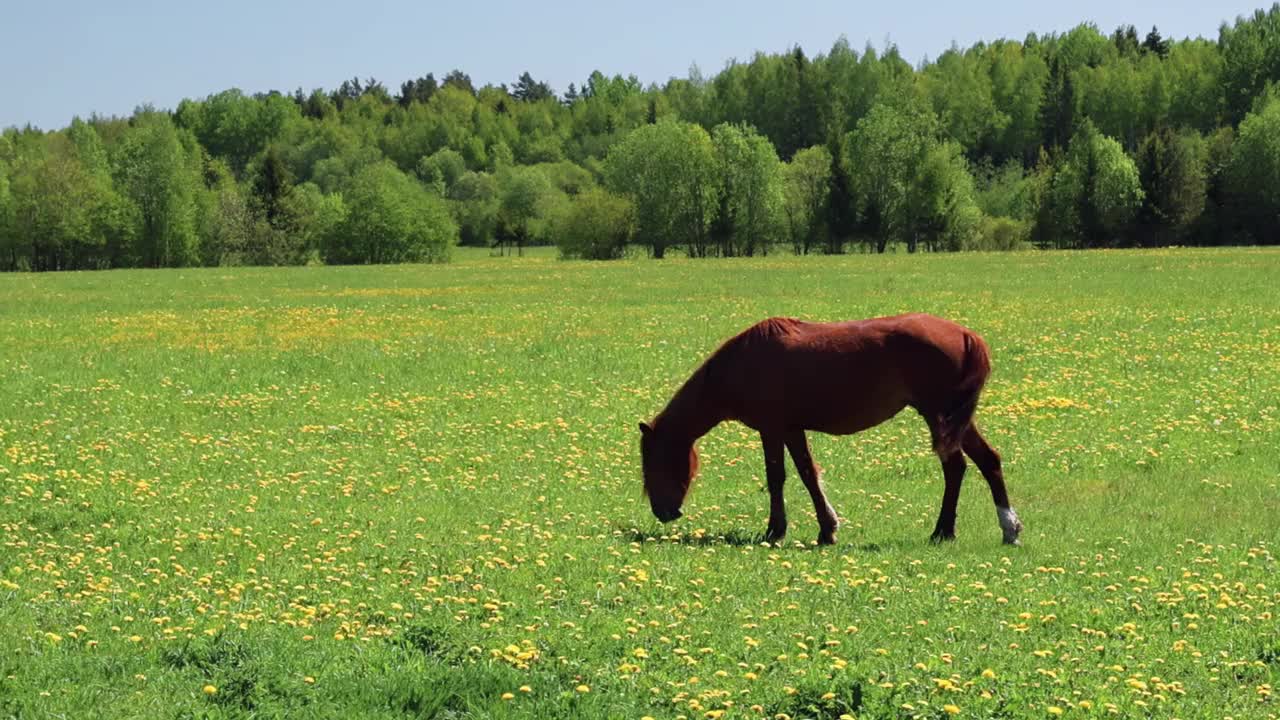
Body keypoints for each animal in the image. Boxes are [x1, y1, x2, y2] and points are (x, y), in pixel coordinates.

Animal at [645, 312, 1024, 543]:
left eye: (654, 463)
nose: (662, 512)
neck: (744, 362)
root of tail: (965, 334)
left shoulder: (772, 429)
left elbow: (779, 477)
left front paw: (778, 531)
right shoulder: (791, 429)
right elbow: (808, 474)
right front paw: (826, 528)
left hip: (938, 415)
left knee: (955, 466)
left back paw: (944, 530)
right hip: (956, 420)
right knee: (987, 461)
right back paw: (1007, 528)